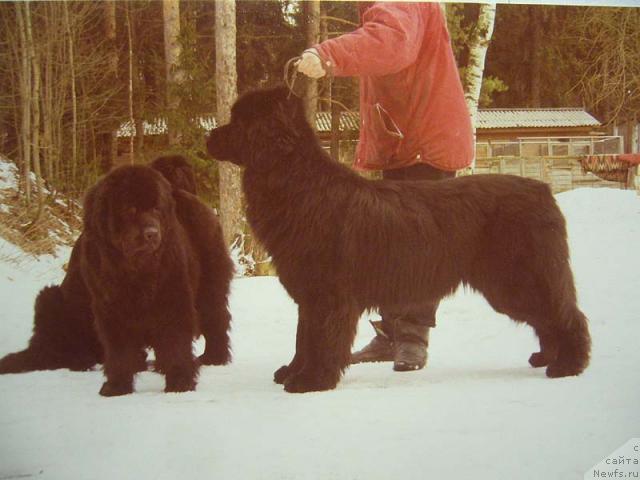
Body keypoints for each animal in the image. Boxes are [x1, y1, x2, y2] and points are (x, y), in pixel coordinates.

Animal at [0, 156, 235, 396]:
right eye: (130, 209)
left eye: (156, 209)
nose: (152, 233)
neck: (134, 270)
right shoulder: (110, 306)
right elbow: (119, 349)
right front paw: (117, 386)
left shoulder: (172, 297)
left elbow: (175, 342)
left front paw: (180, 382)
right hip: (49, 297)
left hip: (209, 286)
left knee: (216, 318)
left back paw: (212, 357)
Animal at [208, 86, 592, 394]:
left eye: (239, 121)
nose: (209, 136)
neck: (297, 182)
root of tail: (543, 190)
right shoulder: (310, 292)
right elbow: (303, 337)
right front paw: (293, 371)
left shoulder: (328, 295)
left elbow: (319, 338)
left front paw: (311, 380)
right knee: (548, 318)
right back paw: (547, 357)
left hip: (519, 279)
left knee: (566, 314)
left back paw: (568, 365)